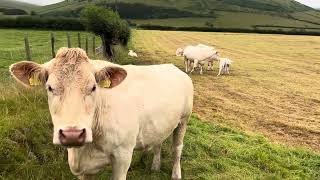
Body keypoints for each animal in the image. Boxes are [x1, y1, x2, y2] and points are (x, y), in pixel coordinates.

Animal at [10, 47, 194, 180]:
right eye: (49, 87)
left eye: (93, 87)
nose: (72, 134)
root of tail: (171, 66)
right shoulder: (83, 169)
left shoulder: (123, 156)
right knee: (158, 142)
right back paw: (155, 166)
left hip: (184, 119)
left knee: (177, 148)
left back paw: (176, 174)